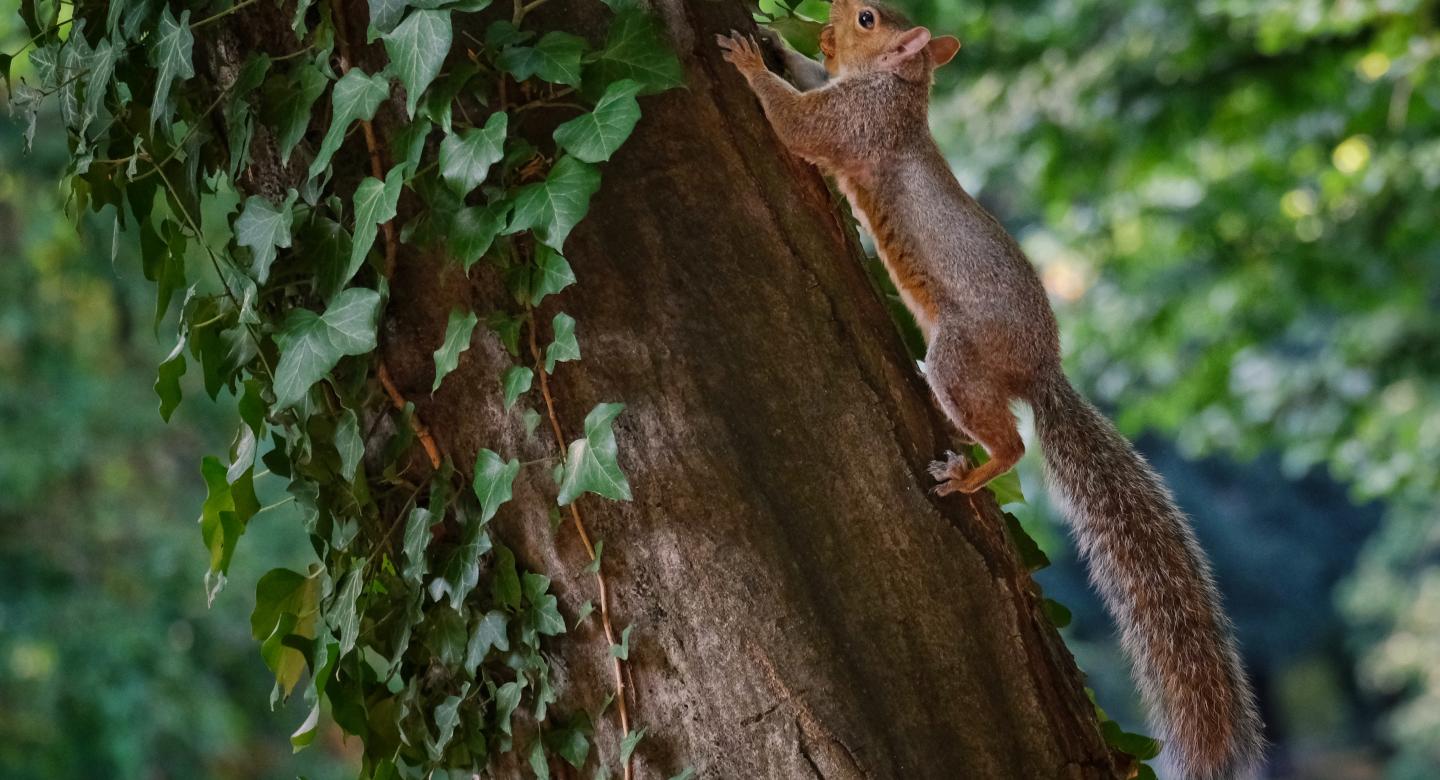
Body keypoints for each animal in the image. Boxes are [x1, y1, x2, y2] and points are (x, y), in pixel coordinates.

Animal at [720, 3, 1261, 777]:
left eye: (867, 16)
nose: (830, 14)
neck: (898, 90)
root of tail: (1041, 368)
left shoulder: (856, 123)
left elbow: (799, 124)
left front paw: (749, 62)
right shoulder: (848, 93)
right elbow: (810, 80)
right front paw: (776, 42)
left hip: (960, 355)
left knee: (1011, 445)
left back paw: (970, 474)